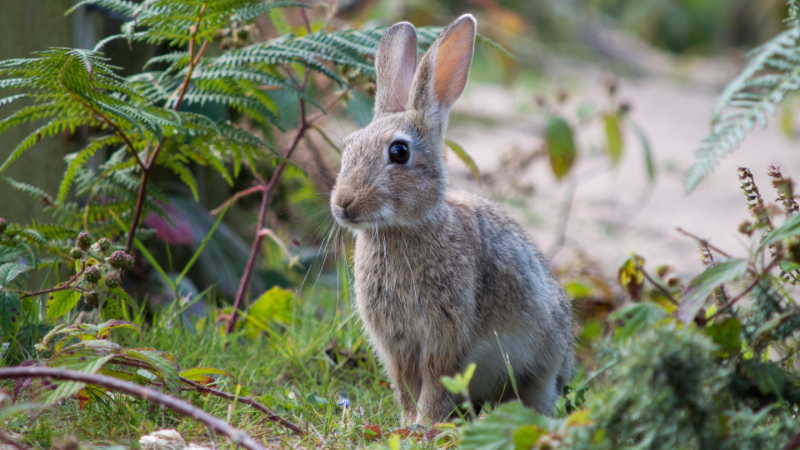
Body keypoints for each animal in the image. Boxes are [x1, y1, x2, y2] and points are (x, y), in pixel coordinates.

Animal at [329, 14, 573, 425]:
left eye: (399, 152)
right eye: (347, 147)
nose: (344, 202)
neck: (405, 229)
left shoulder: (447, 334)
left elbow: (435, 380)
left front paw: (425, 424)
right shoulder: (397, 342)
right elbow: (405, 384)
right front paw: (408, 422)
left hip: (542, 362)